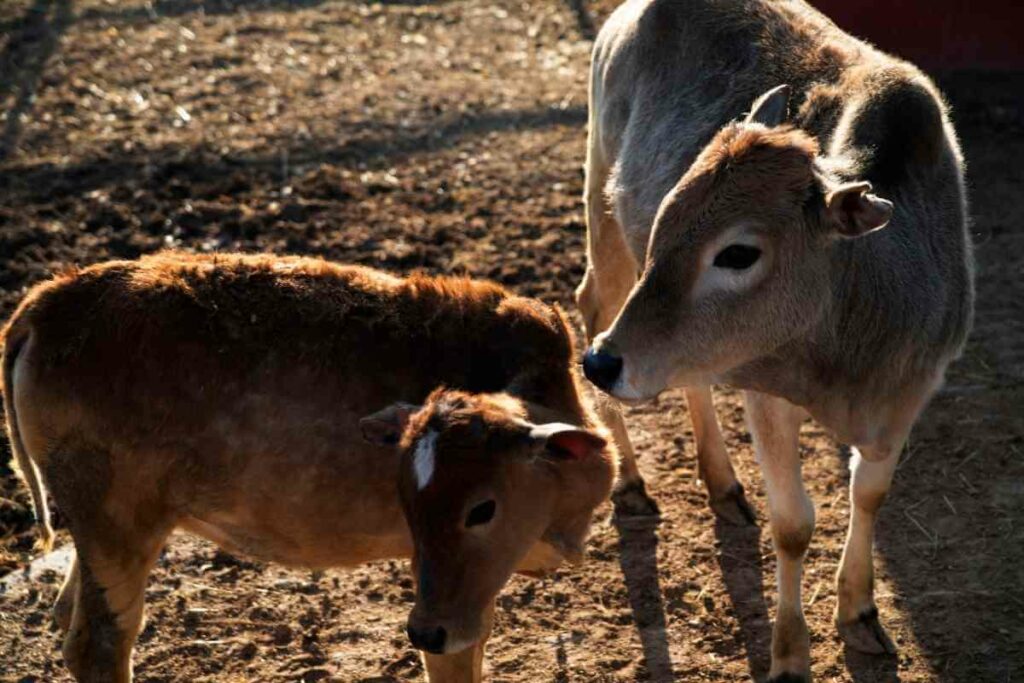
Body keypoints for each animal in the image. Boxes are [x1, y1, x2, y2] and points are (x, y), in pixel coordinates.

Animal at [1, 251, 617, 683]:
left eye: (482, 509)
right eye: (411, 504)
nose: (424, 629)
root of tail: (47, 304)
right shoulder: (447, 606)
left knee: (67, 617)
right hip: (118, 526)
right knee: (101, 644)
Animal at [576, 1, 973, 680]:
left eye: (738, 252)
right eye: (666, 223)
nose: (603, 362)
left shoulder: (911, 392)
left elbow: (870, 493)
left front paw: (860, 613)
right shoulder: (767, 393)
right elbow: (794, 525)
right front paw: (789, 653)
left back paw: (722, 484)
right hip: (601, 211)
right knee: (587, 303)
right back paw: (630, 481)